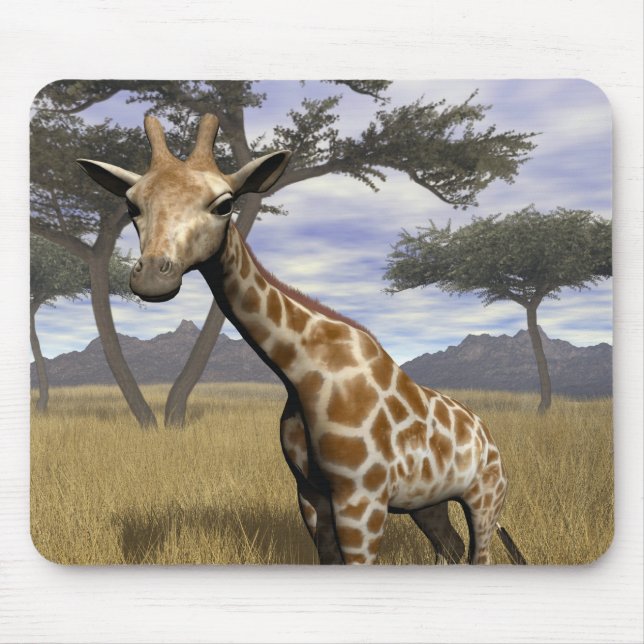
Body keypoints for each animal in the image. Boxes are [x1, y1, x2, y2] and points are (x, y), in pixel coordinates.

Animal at [78, 113, 525, 565]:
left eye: (224, 204)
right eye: (132, 205)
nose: (153, 277)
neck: (301, 372)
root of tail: (488, 434)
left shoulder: (362, 497)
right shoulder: (310, 493)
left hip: (485, 497)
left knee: (478, 554)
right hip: (428, 501)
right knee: (448, 547)